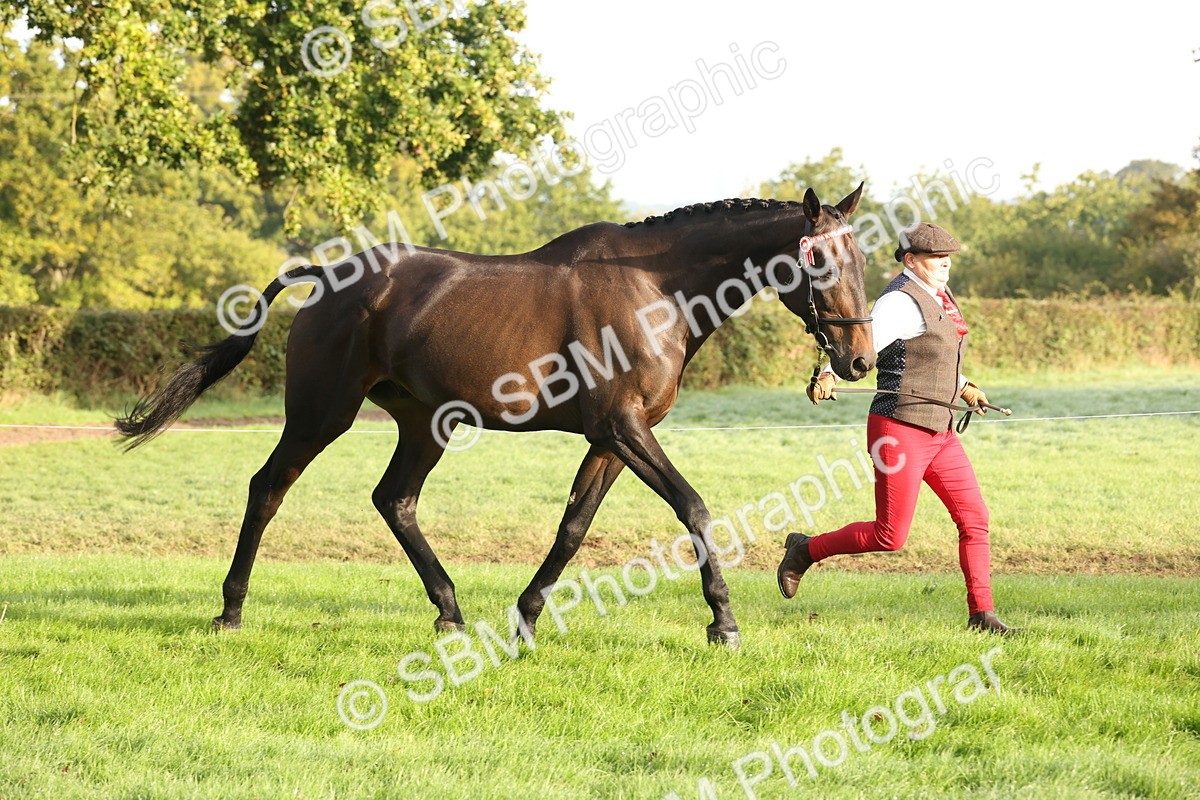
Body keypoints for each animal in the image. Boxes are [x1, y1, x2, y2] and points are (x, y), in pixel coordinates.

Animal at [116, 185, 875, 647]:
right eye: (818, 260)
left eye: (862, 256)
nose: (858, 359)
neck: (654, 289)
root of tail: (325, 277)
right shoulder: (626, 430)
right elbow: (693, 508)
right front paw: (723, 622)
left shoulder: (611, 439)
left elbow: (572, 529)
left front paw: (527, 619)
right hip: (321, 413)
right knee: (268, 488)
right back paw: (231, 609)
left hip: (425, 424)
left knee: (394, 500)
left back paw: (450, 613)